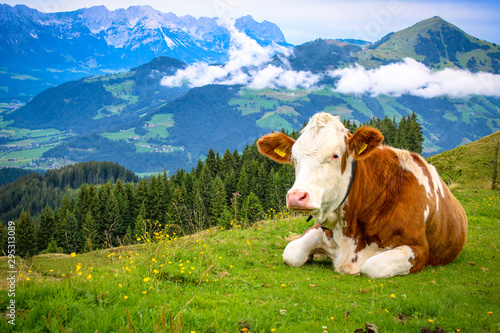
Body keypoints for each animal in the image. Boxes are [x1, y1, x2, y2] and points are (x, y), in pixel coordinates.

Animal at [258, 111, 468, 278]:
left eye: (335, 155)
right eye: (294, 158)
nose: (296, 196)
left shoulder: (419, 248)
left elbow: (371, 266)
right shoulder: (321, 230)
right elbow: (291, 252)